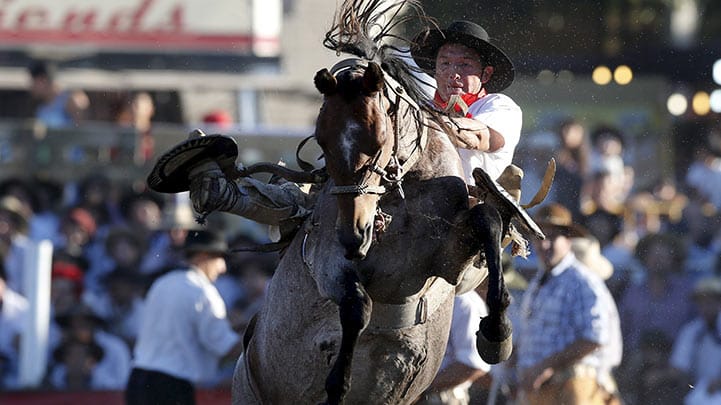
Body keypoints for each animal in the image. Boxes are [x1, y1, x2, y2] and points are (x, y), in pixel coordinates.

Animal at [229, 1, 536, 402]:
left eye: (376, 141)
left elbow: (488, 219)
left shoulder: (449, 258)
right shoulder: (328, 261)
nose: (354, 234)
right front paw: (338, 383)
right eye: (321, 142)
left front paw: (496, 334)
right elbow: (357, 306)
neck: (403, 199)